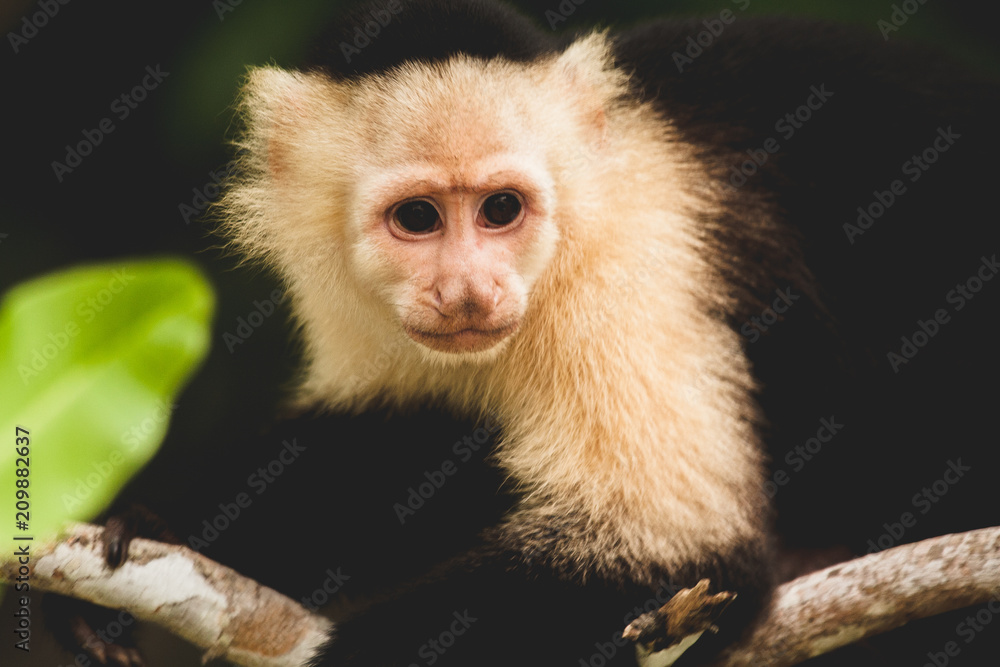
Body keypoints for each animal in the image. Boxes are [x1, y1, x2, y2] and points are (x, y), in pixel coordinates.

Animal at [50, 1, 999, 666]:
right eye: (419, 218)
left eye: (502, 209)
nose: (469, 289)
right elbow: (396, 431)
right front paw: (159, 512)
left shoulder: (629, 268)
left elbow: (675, 547)